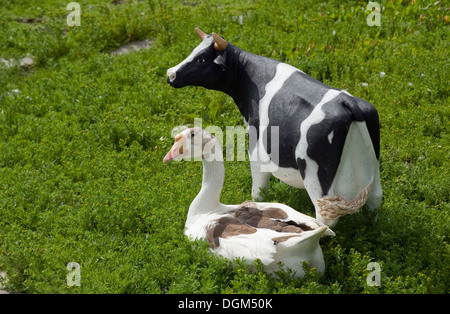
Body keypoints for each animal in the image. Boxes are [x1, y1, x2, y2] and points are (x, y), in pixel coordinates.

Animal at [167, 28, 382, 227]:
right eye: (194, 51)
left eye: (202, 58)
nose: (170, 74)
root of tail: (349, 103)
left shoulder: (256, 145)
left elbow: (259, 187)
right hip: (373, 168)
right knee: (375, 201)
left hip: (318, 180)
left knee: (326, 219)